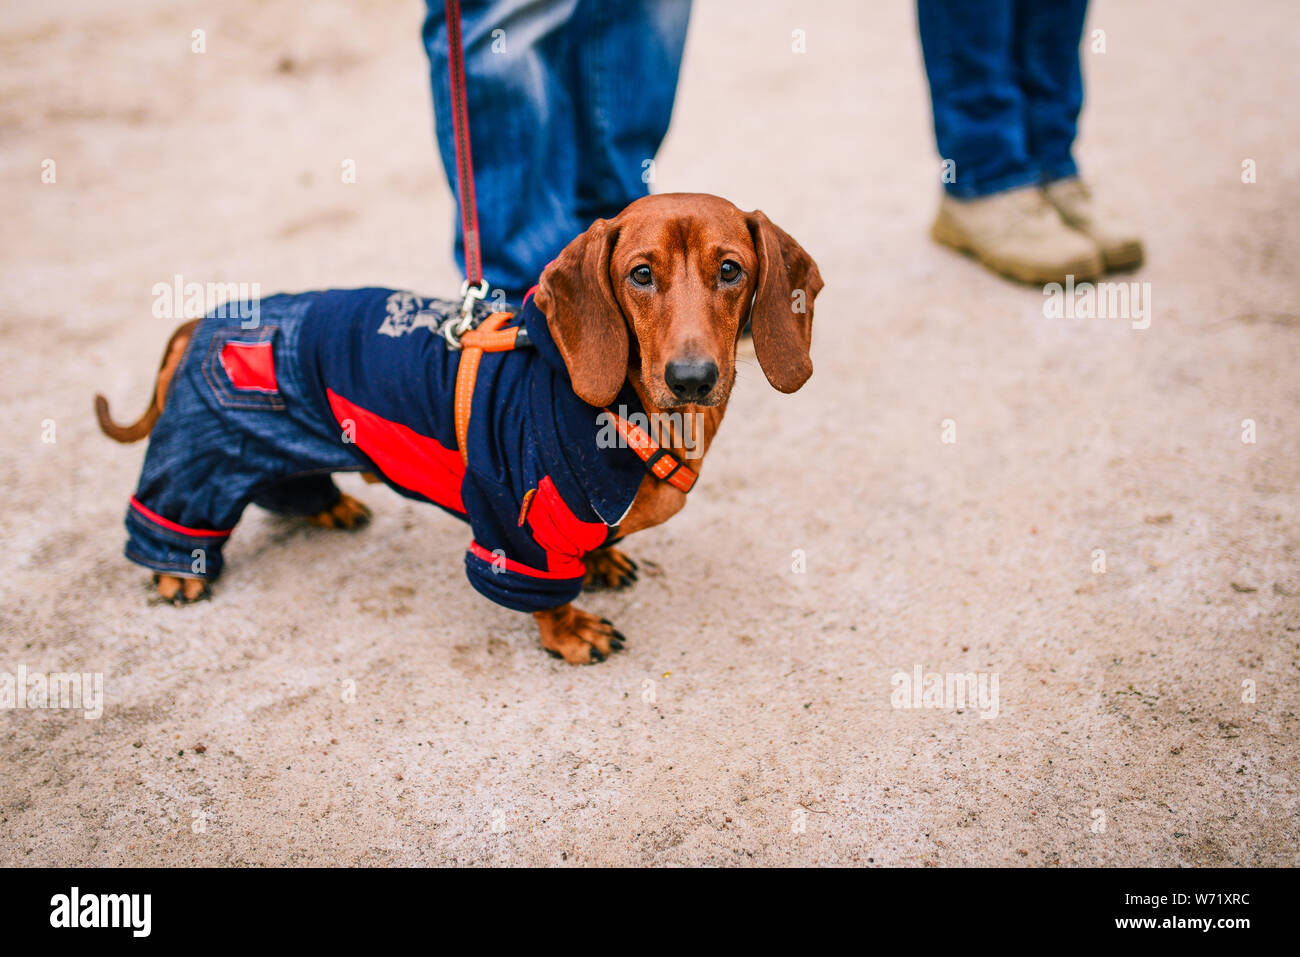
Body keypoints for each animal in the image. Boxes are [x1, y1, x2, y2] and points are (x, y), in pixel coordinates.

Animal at [96, 191, 821, 660]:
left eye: (730, 270)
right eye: (640, 274)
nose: (693, 377)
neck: (625, 413)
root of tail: (208, 319)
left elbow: (592, 542)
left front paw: (602, 558)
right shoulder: (516, 520)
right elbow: (545, 591)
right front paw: (569, 632)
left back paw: (329, 508)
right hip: (202, 456)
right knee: (175, 507)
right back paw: (179, 571)